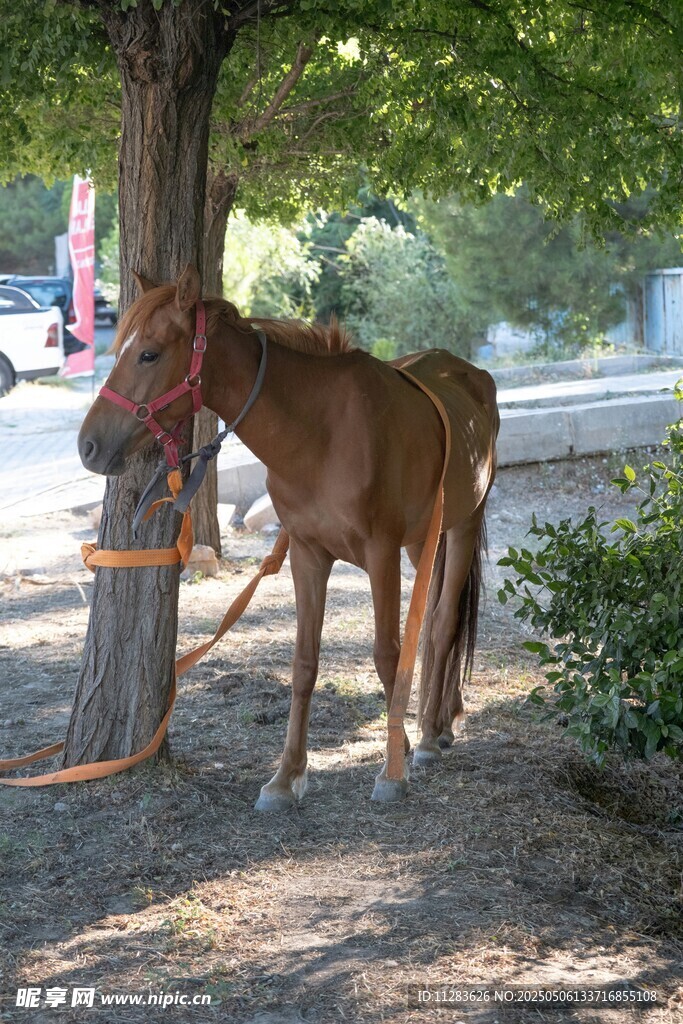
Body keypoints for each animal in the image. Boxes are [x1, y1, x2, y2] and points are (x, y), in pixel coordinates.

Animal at [78, 265, 499, 809]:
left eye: (148, 353)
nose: (88, 445)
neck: (322, 434)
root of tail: (467, 372)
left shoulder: (381, 553)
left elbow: (387, 654)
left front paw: (394, 765)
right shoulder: (307, 554)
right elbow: (304, 664)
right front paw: (286, 776)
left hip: (463, 524)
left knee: (444, 622)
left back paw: (427, 733)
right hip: (425, 538)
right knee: (430, 627)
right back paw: (440, 721)